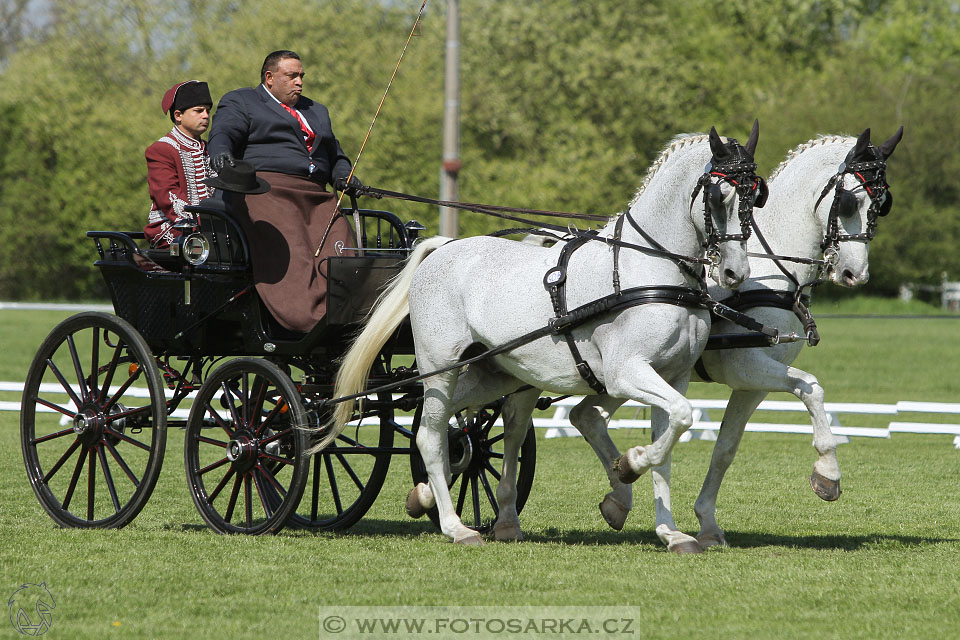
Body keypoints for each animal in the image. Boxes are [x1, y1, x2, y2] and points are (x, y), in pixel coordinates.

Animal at [318, 122, 760, 544]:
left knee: (444, 428)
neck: (648, 268)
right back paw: (456, 527)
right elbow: (677, 421)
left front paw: (670, 531)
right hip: (440, 367)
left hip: (493, 372)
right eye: (719, 195)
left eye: (756, 196)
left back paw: (433, 496)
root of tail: (441, 249)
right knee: (429, 434)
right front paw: (629, 465)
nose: (735, 272)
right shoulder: (626, 373)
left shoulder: (675, 376)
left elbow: (671, 439)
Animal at [568, 125, 904, 552]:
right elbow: (812, 387)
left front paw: (708, 524)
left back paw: (618, 497)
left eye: (882, 203)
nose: (853, 274)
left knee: (587, 416)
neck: (771, 270)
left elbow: (725, 449)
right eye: (848, 200)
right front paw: (827, 475)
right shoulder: (747, 365)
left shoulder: (752, 384)